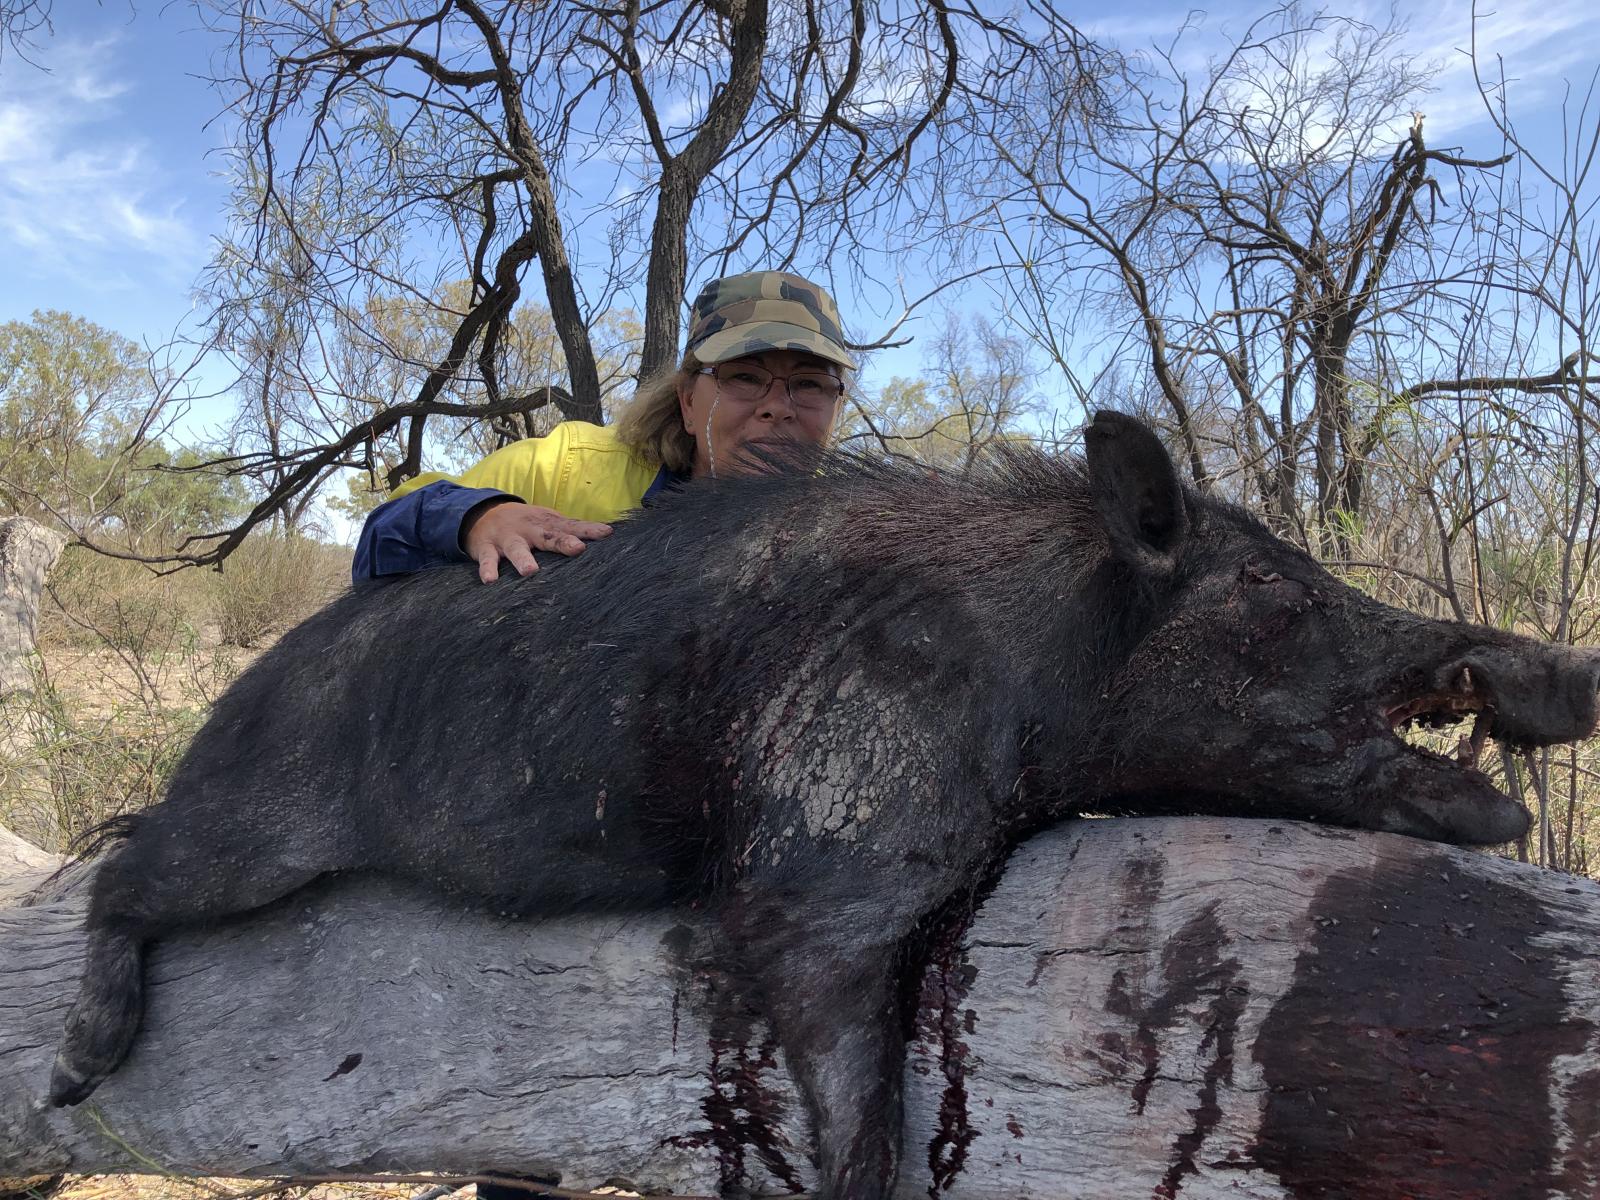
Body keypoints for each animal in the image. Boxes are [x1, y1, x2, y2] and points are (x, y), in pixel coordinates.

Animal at [50, 412, 1599, 1200]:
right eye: (1272, 591)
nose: (1569, 669)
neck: (1042, 662)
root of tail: (250, 680)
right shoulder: (816, 877)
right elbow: (860, 1125)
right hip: (250, 832)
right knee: (120, 868)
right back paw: (75, 1070)